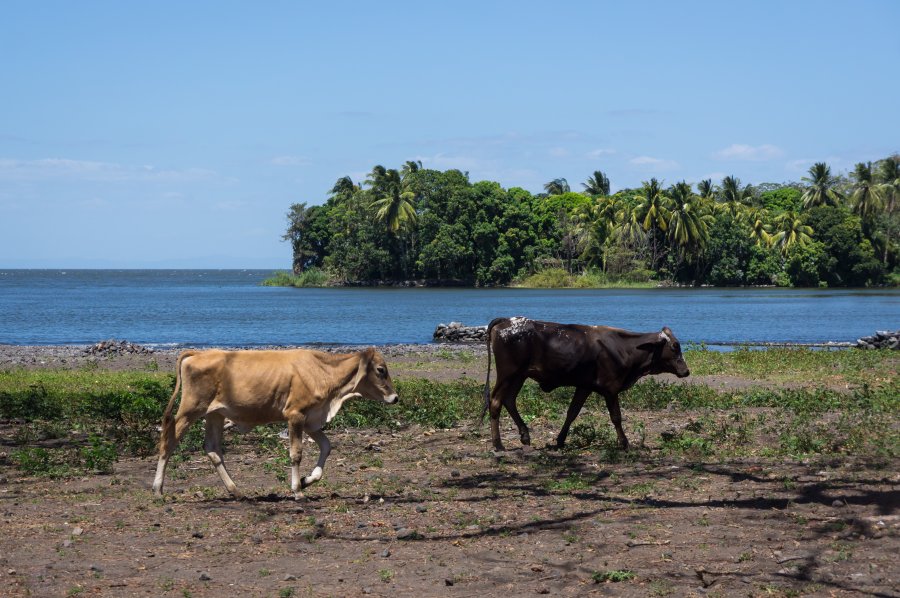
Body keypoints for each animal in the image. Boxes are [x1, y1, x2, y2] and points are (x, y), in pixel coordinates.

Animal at [153, 346, 400, 502]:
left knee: (212, 449)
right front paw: (297, 490)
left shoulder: (311, 421)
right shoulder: (295, 415)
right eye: (380, 370)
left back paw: (236, 491)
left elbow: (327, 447)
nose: (395, 397)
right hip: (190, 410)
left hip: (215, 414)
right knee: (168, 441)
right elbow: (296, 454)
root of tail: (198, 353)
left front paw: (308, 480)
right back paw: (158, 489)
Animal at [486, 318, 688, 450]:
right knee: (495, 402)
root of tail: (507, 321)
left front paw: (560, 440)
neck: (624, 348)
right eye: (674, 346)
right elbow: (616, 417)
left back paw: (525, 436)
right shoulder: (610, 389)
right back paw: (498, 444)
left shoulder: (584, 387)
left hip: (519, 376)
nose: (686, 371)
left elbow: (572, 413)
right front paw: (624, 443)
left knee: (509, 400)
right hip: (507, 374)